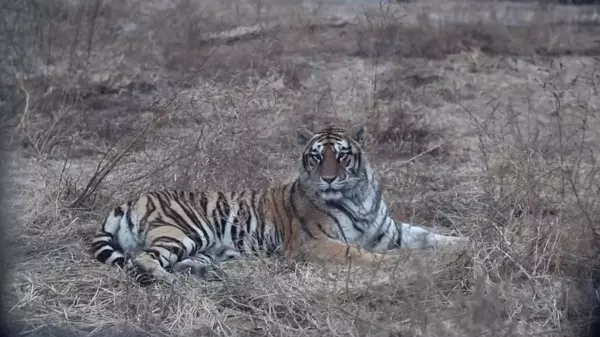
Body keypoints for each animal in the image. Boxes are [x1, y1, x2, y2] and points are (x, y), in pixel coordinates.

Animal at [91, 124, 468, 284]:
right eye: (316, 157)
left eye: (341, 156)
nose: (328, 179)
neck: (356, 197)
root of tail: (130, 199)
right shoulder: (315, 244)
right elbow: (361, 254)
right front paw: (398, 262)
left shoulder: (389, 230)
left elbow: (429, 234)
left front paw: (466, 242)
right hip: (184, 231)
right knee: (143, 260)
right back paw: (171, 282)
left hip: (203, 247)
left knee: (176, 261)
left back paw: (207, 273)